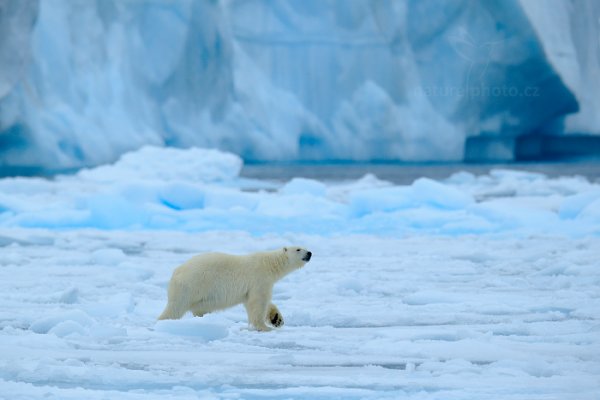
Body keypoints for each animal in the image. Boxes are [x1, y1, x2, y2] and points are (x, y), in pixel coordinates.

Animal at [157, 247, 312, 332]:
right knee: (175, 307)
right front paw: (264, 327)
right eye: (298, 249)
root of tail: (176, 272)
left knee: (199, 308)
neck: (269, 264)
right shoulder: (258, 278)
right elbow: (258, 301)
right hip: (191, 286)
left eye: (304, 247)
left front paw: (277, 319)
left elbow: (255, 301)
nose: (309, 253)